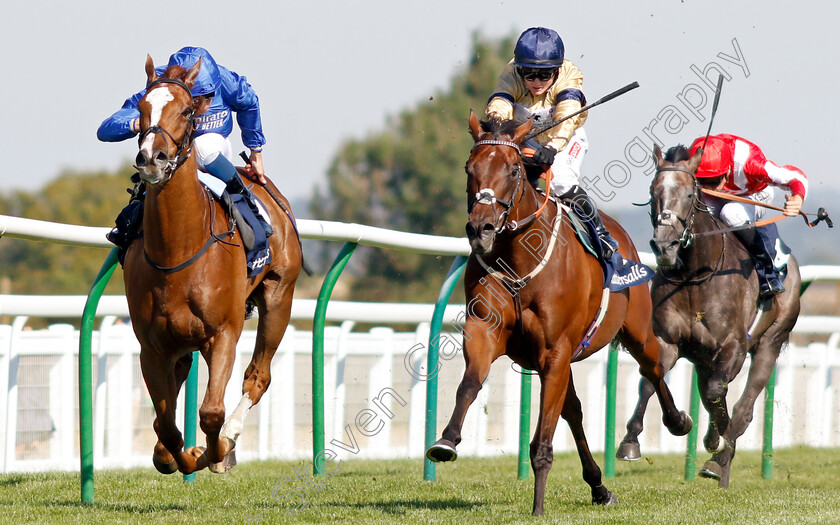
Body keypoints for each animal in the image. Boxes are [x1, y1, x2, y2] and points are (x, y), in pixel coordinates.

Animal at [124, 55, 302, 472]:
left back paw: (231, 436)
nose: (151, 158)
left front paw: (218, 449)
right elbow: (165, 424)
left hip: (279, 296)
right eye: (141, 110)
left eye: (187, 111)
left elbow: (210, 413)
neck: (176, 253)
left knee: (257, 377)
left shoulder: (223, 333)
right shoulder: (151, 346)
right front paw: (180, 456)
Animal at [424, 111, 692, 516]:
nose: (480, 227)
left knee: (654, 366)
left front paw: (537, 507)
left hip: (635, 331)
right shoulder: (487, 332)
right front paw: (447, 441)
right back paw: (599, 487)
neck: (519, 260)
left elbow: (542, 441)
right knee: (574, 410)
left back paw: (674, 422)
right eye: (469, 168)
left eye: (514, 169)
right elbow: (469, 383)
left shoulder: (555, 351)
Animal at [616, 144, 800, 488]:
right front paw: (636, 439)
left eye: (690, 194)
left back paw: (719, 459)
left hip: (771, 340)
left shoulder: (734, 346)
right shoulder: (669, 341)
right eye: (653, 192)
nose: (664, 246)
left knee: (743, 406)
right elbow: (651, 380)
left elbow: (718, 393)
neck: (695, 277)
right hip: (703, 358)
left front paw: (718, 440)